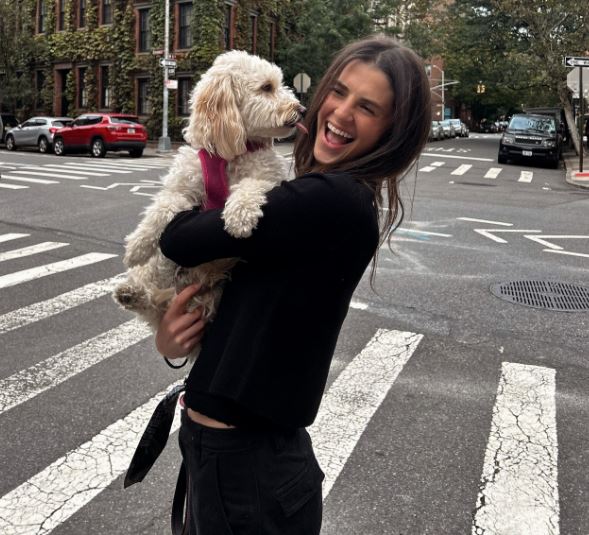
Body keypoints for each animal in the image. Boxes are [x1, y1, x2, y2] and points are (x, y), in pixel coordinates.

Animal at [112, 51, 304, 360]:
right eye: (267, 87)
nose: (302, 109)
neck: (228, 156)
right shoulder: (182, 187)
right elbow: (163, 207)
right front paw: (137, 246)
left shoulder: (268, 177)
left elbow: (250, 187)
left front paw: (239, 218)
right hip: (167, 266)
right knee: (155, 295)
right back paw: (132, 291)